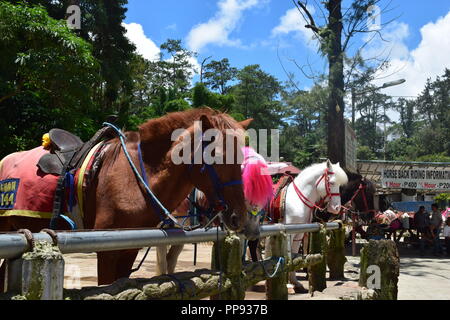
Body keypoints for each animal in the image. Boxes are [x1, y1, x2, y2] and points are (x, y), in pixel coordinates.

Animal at [266, 159, 350, 292]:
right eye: (331, 182)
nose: (336, 208)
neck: (297, 200)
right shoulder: (287, 233)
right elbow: (287, 256)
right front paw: (287, 285)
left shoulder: (299, 233)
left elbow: (294, 255)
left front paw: (295, 283)